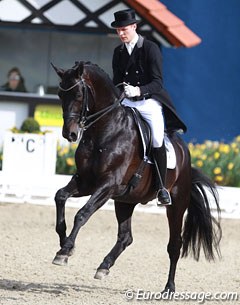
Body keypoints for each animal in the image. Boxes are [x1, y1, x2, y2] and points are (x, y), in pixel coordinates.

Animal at [51, 60, 221, 290]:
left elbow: (83, 213)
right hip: (125, 200)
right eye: (60, 94)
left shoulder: (108, 184)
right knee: (126, 237)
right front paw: (63, 243)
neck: (104, 131)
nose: (69, 134)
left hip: (176, 204)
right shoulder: (86, 182)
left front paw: (65, 249)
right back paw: (103, 267)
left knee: (174, 245)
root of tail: (185, 153)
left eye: (78, 94)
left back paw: (169, 287)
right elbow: (60, 196)